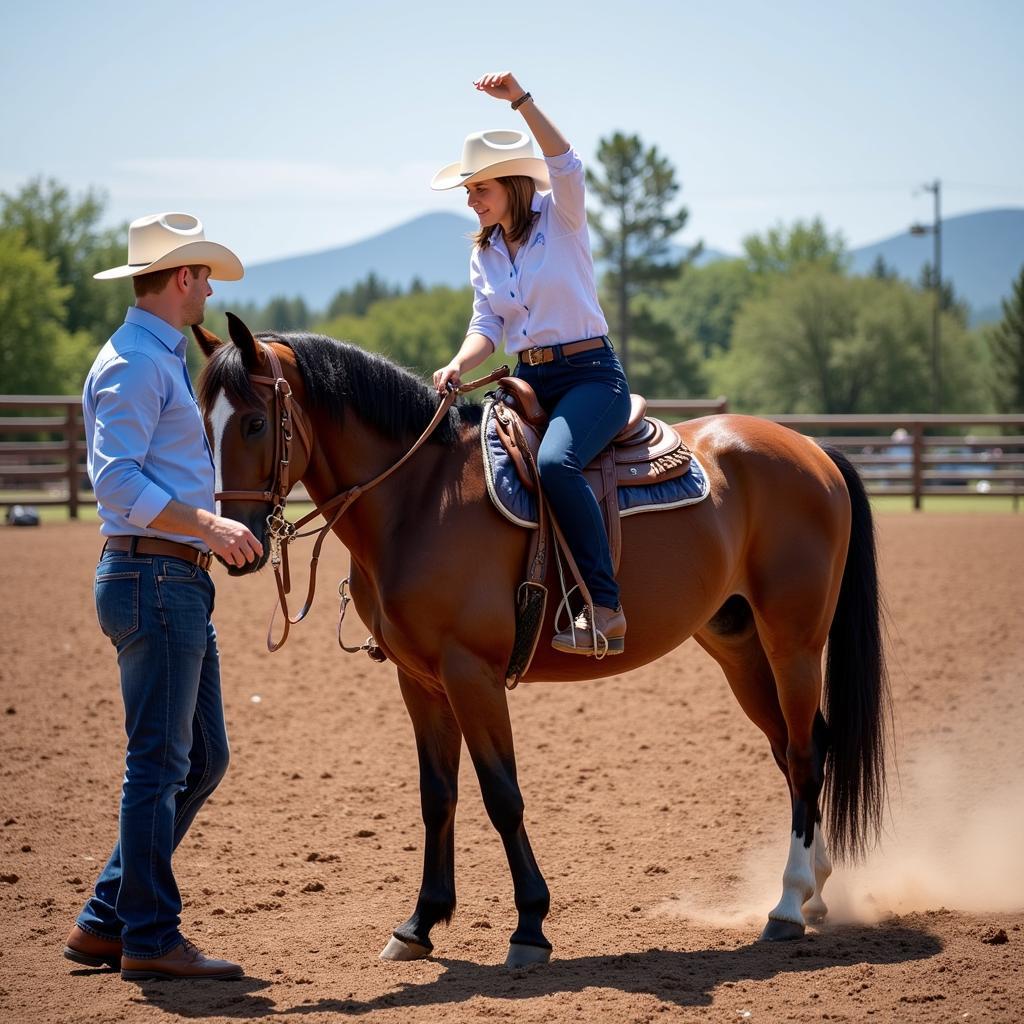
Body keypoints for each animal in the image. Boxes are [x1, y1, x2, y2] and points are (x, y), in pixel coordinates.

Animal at [193, 313, 888, 966]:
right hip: (737, 644)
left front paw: (529, 926)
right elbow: (437, 796)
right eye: (203, 421)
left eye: (253, 423)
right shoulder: (418, 679)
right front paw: (419, 924)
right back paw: (814, 893)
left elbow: (502, 794)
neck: (418, 500)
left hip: (794, 639)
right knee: (801, 748)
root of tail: (811, 448)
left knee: (804, 752)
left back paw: (787, 906)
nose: (235, 540)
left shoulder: (470, 672)